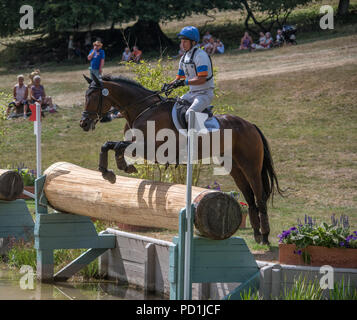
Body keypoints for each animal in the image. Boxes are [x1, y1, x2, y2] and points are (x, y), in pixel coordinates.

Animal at [79, 72, 282, 244]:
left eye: (93, 97)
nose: (84, 123)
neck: (143, 109)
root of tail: (250, 125)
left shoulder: (152, 149)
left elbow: (117, 146)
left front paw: (121, 167)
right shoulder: (138, 146)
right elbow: (108, 144)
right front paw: (107, 172)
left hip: (250, 166)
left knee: (259, 196)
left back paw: (265, 236)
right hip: (235, 168)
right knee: (249, 198)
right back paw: (257, 234)